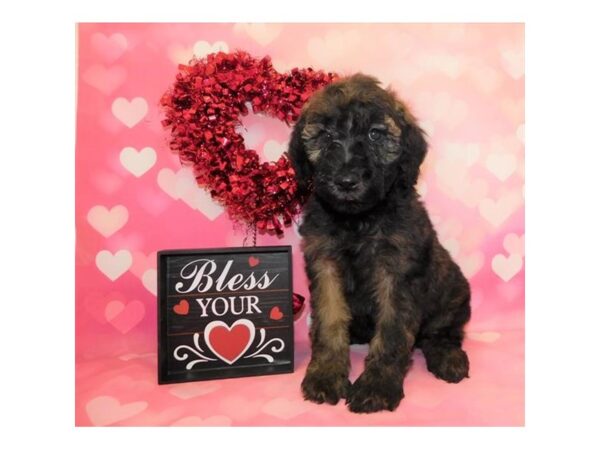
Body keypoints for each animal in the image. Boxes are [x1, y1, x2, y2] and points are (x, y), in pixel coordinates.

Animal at [288, 74, 472, 414]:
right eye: (325, 135)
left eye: (375, 134)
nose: (346, 180)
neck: (358, 220)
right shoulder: (324, 264)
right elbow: (329, 321)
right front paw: (326, 375)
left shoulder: (397, 272)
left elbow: (392, 333)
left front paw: (377, 386)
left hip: (453, 292)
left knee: (441, 333)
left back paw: (448, 357)